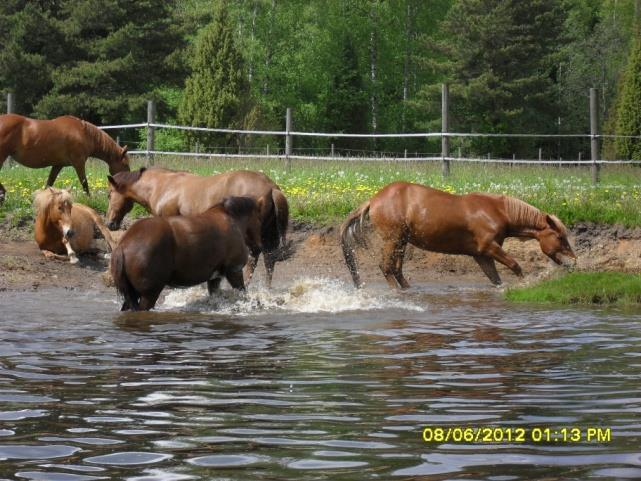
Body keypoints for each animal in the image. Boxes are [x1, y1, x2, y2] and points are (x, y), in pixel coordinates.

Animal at [0, 114, 130, 201]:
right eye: (126, 164)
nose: (125, 184)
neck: (83, 133)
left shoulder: (58, 165)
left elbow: (49, 183)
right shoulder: (78, 162)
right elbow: (84, 182)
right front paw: (89, 198)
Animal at [106, 167, 288, 284]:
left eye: (109, 194)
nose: (110, 223)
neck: (163, 185)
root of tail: (271, 187)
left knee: (253, 258)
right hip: (268, 234)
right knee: (269, 261)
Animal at [110, 196, 262, 312]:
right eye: (260, 219)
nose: (260, 246)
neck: (231, 219)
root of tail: (123, 245)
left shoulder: (215, 278)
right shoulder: (234, 271)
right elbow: (243, 293)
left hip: (132, 293)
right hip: (149, 294)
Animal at [340, 181, 576, 286]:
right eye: (560, 237)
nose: (573, 263)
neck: (499, 211)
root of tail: (373, 200)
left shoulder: (481, 255)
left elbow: (496, 279)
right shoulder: (490, 248)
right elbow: (515, 265)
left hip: (402, 242)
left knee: (397, 269)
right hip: (393, 240)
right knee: (386, 267)